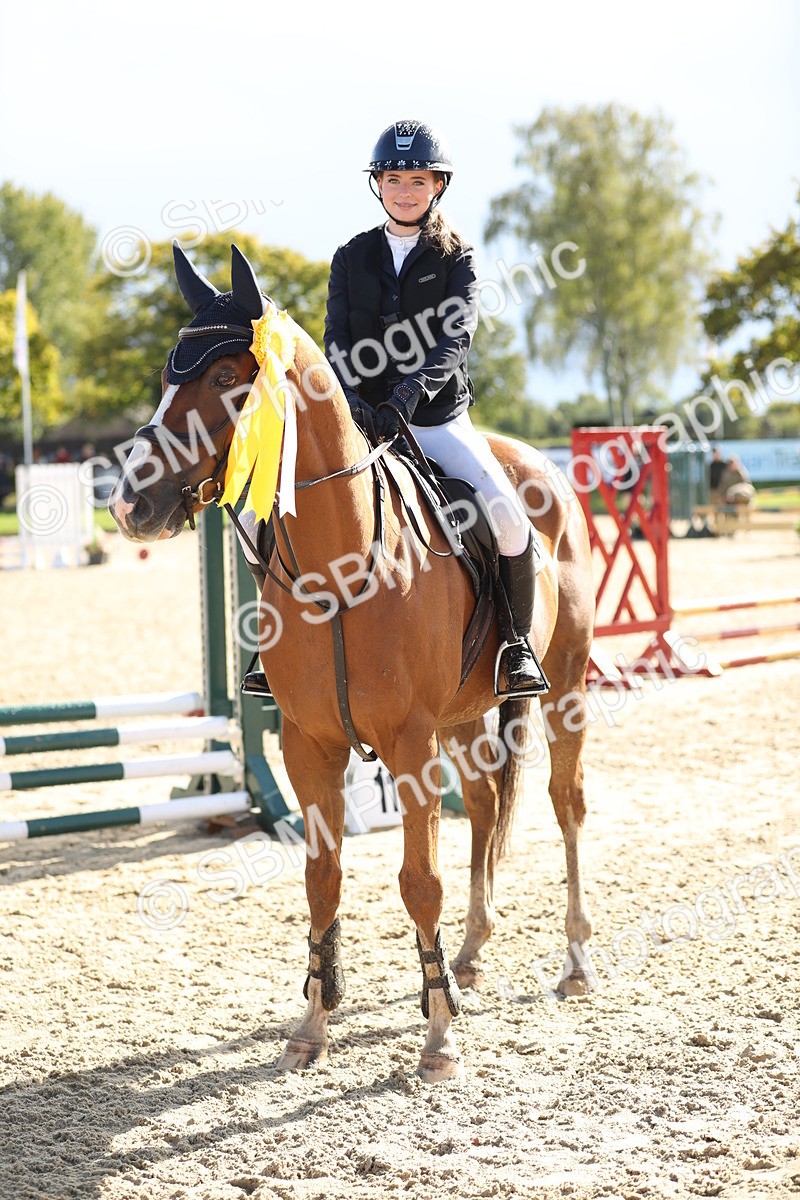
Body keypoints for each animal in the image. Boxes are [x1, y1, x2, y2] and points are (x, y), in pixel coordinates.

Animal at [110, 243, 597, 1083]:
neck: (338, 566)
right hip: (463, 717)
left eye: (229, 377)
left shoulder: (408, 742)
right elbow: (322, 878)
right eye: (167, 373)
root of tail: (538, 464)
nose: (131, 506)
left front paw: (438, 1039)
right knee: (485, 806)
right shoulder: (310, 744)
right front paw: (313, 1022)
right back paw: (469, 957)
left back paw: (573, 963)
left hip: (562, 685)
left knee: (566, 802)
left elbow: (419, 882)